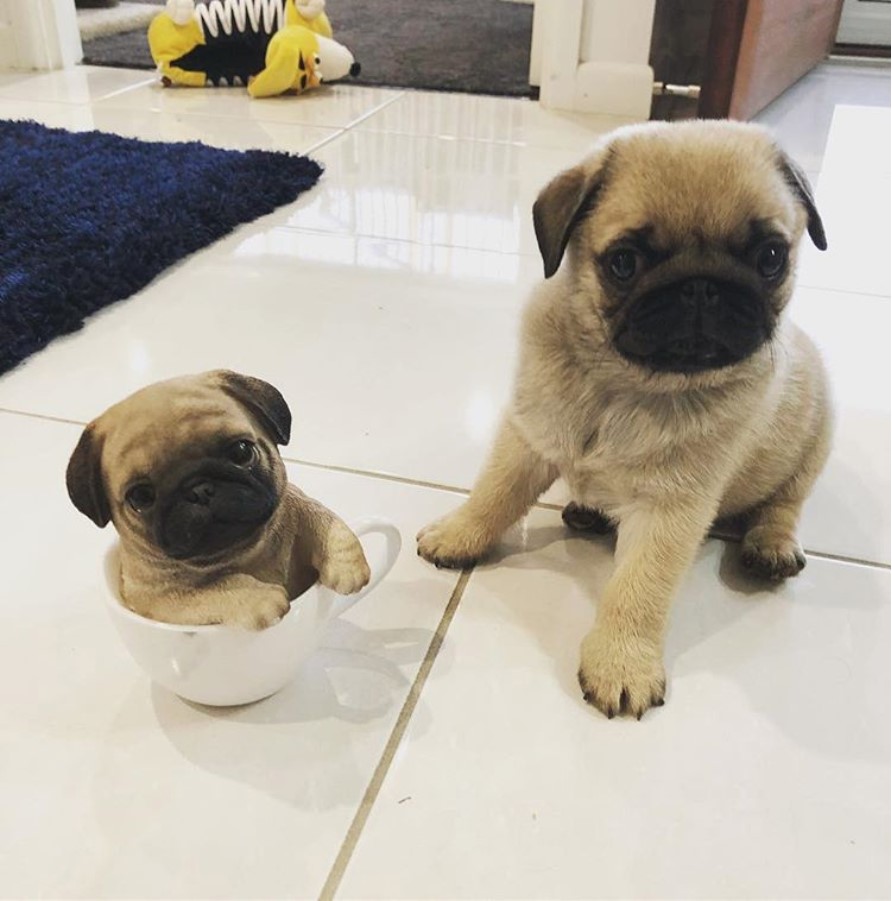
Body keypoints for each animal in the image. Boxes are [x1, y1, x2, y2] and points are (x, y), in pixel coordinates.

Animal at [67, 370, 370, 628]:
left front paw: (346, 565)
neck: (242, 554)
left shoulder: (293, 502)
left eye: (241, 452)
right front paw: (261, 599)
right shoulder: (160, 600)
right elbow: (215, 588)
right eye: (140, 497)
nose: (199, 489)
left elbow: (323, 518)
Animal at [414, 121, 832, 724]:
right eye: (624, 262)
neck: (626, 383)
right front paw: (459, 534)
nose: (701, 285)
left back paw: (770, 544)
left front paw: (621, 660)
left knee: (785, 503)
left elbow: (637, 589)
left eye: (771, 257)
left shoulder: (671, 509)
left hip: (815, 439)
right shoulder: (528, 437)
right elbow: (493, 493)